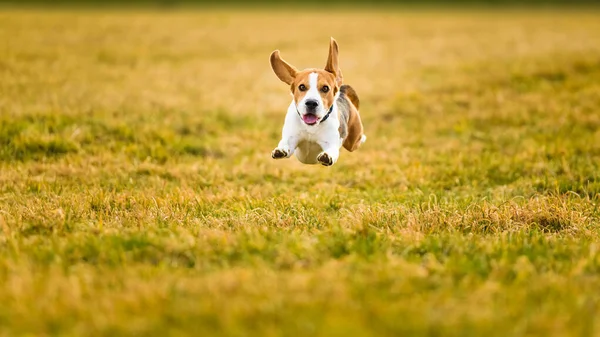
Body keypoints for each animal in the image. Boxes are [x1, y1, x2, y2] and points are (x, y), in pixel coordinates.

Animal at [270, 37, 366, 166]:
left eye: (325, 88)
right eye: (302, 87)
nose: (311, 103)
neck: (311, 127)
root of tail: (343, 92)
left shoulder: (331, 142)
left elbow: (331, 150)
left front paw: (327, 156)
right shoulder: (291, 138)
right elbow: (285, 145)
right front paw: (280, 150)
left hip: (353, 141)